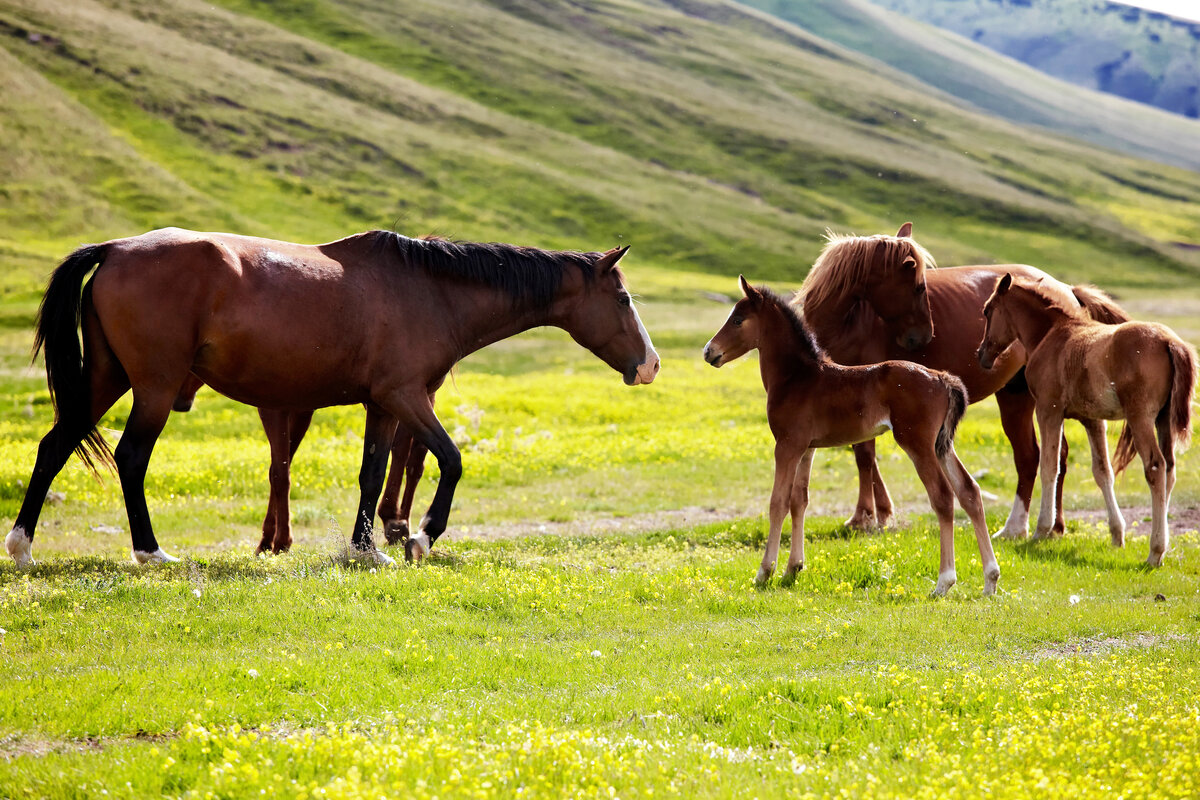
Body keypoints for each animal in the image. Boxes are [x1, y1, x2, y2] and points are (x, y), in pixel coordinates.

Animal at [7, 227, 657, 568]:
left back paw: (22, 546)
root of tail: (116, 248)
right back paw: (150, 553)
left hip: (108, 380)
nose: (650, 365)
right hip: (155, 389)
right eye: (624, 299)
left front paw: (366, 550)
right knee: (131, 458)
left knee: (53, 446)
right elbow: (450, 460)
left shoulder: (382, 405)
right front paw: (420, 536)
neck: (430, 290)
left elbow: (373, 474)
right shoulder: (406, 396)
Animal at [700, 275, 993, 594]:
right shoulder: (807, 448)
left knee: (942, 496)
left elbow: (778, 502)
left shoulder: (787, 445)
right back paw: (991, 579)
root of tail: (942, 378)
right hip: (942, 444)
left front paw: (765, 572)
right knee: (969, 491)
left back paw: (944, 582)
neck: (797, 378)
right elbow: (799, 500)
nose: (708, 351)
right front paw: (793, 569)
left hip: (917, 443)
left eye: (738, 320)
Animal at [796, 221, 1123, 542]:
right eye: (919, 287)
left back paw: (1020, 527)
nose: (924, 336)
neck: (846, 320)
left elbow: (864, 455)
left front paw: (864, 517)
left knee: (1033, 457)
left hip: (1027, 399)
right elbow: (863, 452)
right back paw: (1050, 526)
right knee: (1051, 456)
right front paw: (880, 512)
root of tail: (1067, 289)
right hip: (1018, 395)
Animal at [979, 272, 1195, 566]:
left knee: (1155, 467)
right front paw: (1117, 536)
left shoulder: (1048, 410)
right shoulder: (1092, 420)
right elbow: (1102, 472)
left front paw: (1041, 531)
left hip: (1140, 417)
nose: (981, 355)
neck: (1052, 335)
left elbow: (1049, 467)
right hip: (1164, 420)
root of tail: (1169, 341)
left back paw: (1155, 552)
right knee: (1170, 469)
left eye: (987, 310)